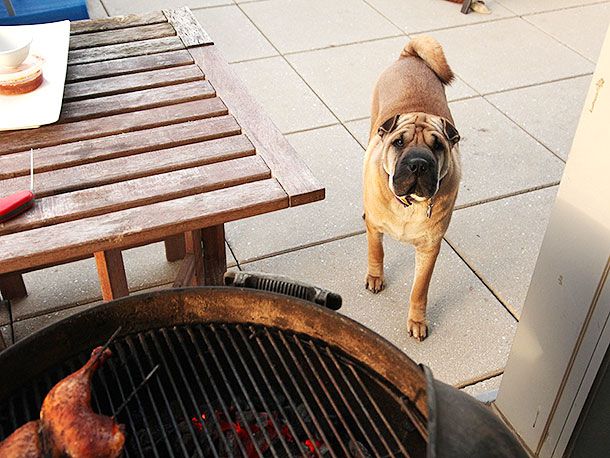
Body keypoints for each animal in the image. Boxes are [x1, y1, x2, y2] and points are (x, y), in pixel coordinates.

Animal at [360, 37, 460, 342]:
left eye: (437, 146)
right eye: (399, 142)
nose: (418, 164)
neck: (409, 204)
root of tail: (410, 58)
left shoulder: (429, 248)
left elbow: (419, 289)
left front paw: (417, 321)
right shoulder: (375, 229)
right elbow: (377, 252)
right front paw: (375, 277)